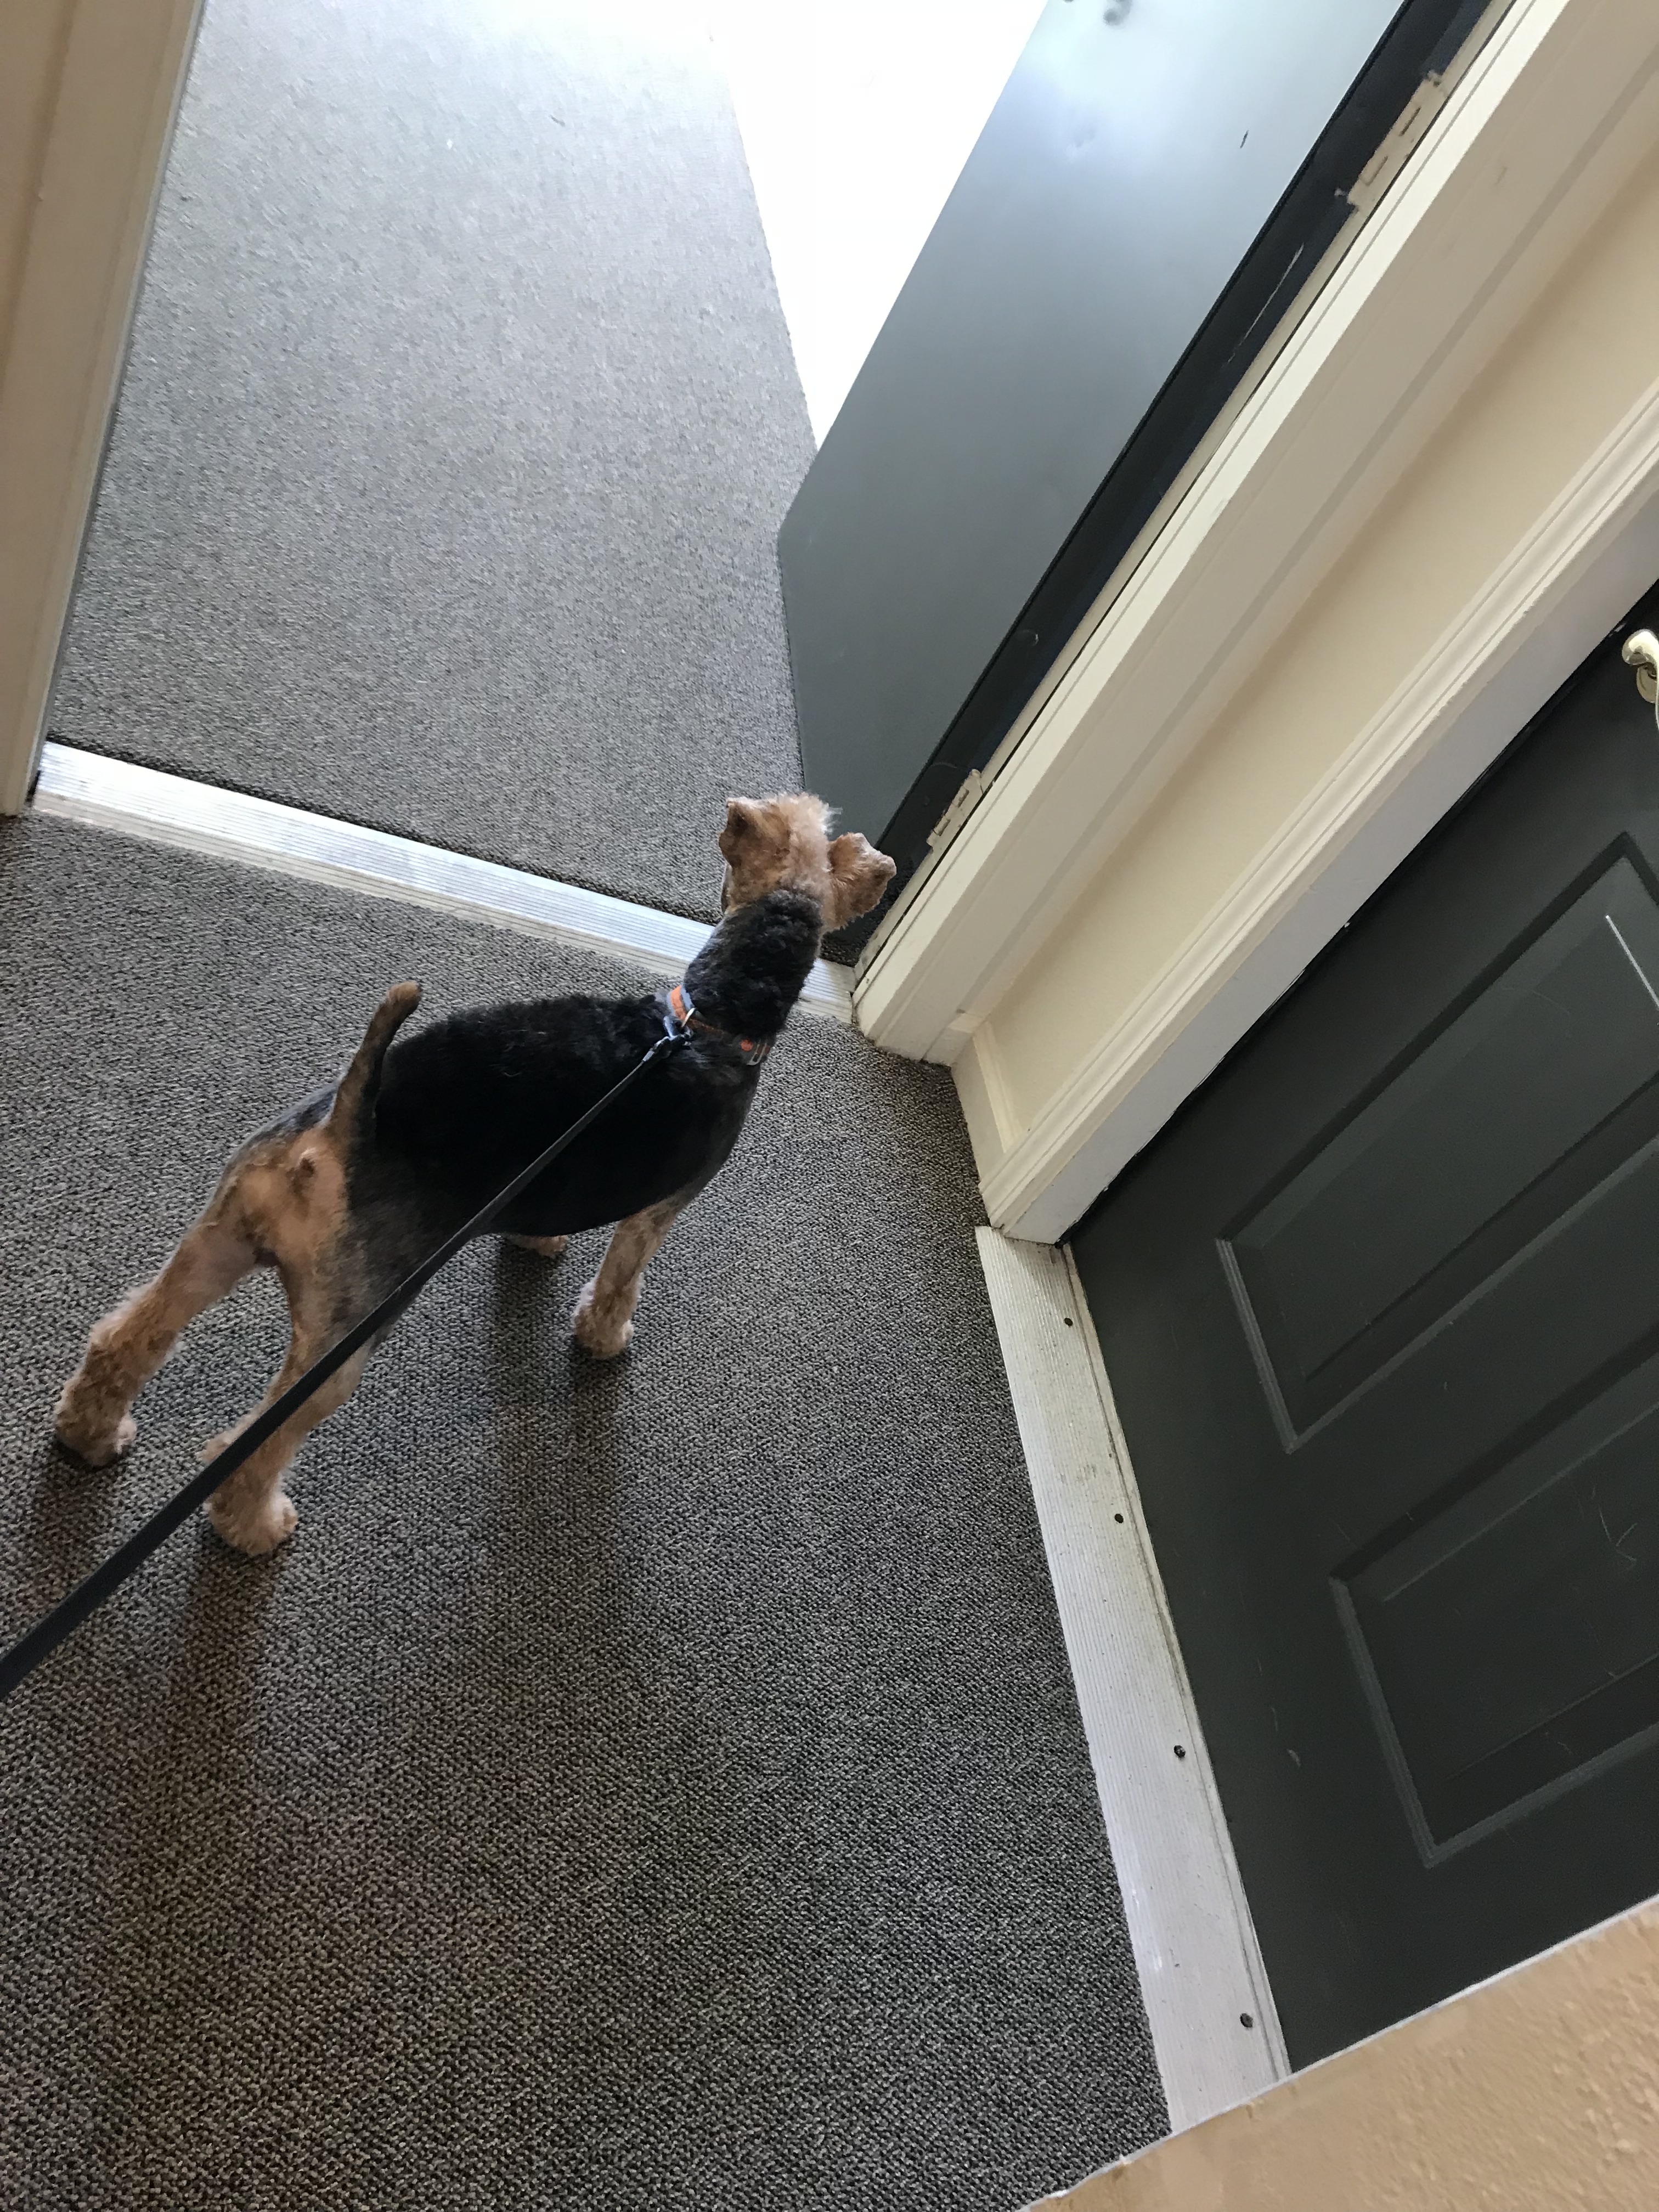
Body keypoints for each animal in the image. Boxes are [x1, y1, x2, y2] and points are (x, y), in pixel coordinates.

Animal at [53, 794, 895, 1555]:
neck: (717, 1014)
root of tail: (341, 1131)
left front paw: (539, 1248)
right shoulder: (660, 1210)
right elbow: (619, 1284)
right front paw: (605, 1339)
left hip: (218, 1241)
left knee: (125, 1340)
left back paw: (91, 1434)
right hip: (339, 1341)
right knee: (251, 1449)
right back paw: (257, 1528)